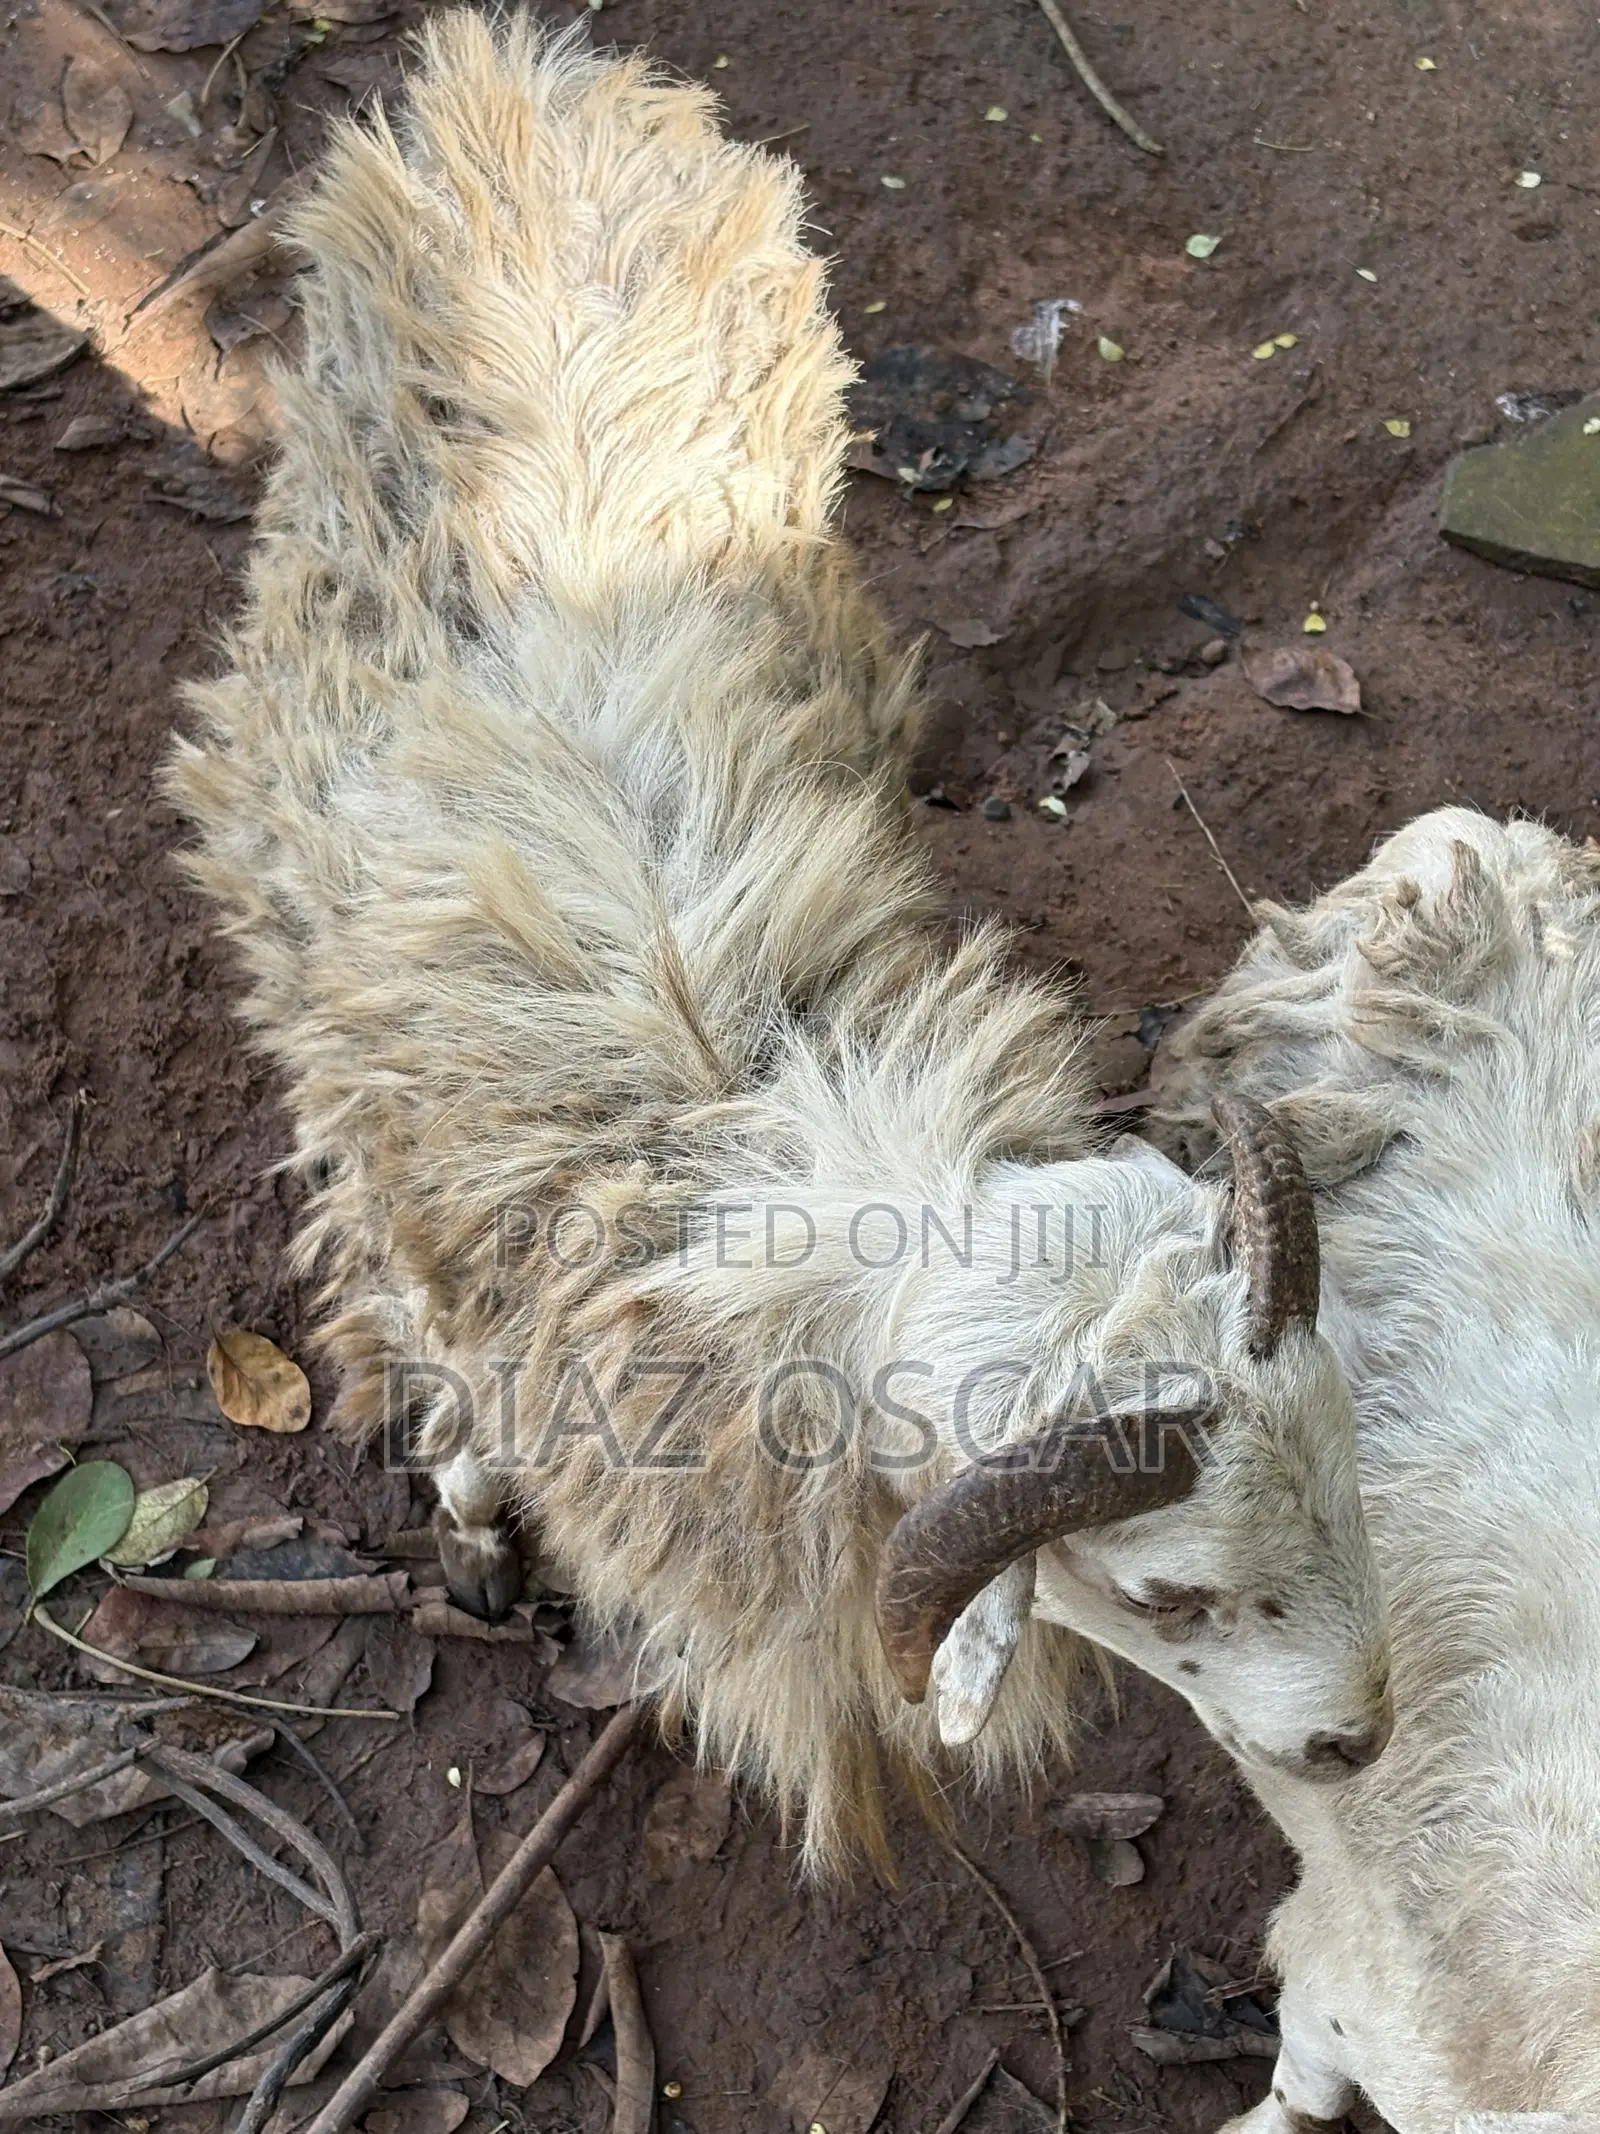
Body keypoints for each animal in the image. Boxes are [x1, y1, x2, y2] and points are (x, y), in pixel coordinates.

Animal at [165, 11, 1391, 1874]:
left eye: (1338, 1445)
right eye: (1166, 1594)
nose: (1362, 1735)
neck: (737, 1113)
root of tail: (515, 64)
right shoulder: (422, 1209)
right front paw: (471, 1517)